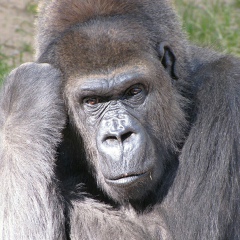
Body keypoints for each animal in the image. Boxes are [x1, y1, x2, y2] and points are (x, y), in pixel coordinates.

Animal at [0, 0, 240, 239]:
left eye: (134, 91)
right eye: (92, 101)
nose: (119, 135)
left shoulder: (223, 90)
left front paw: (22, 102)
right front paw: (21, 109)